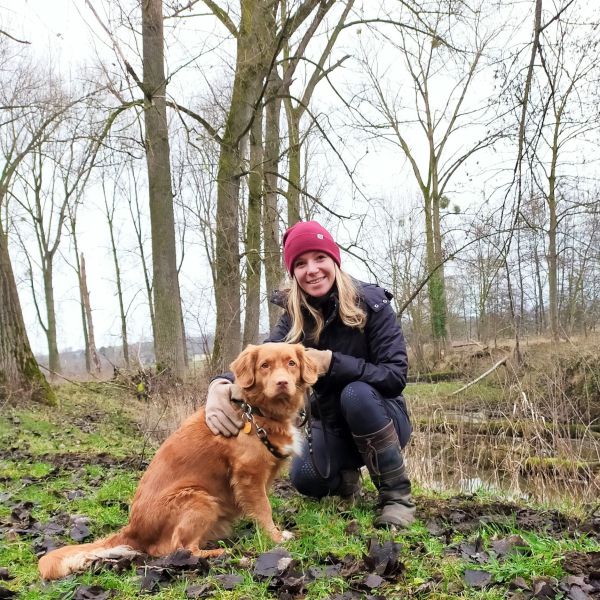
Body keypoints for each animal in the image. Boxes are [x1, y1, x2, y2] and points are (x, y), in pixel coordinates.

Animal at [39, 344, 316, 580]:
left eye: (291, 363)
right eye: (265, 365)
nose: (282, 383)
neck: (256, 412)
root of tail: (133, 528)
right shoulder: (249, 475)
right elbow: (264, 509)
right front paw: (276, 538)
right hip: (198, 498)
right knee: (179, 548)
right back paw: (222, 553)